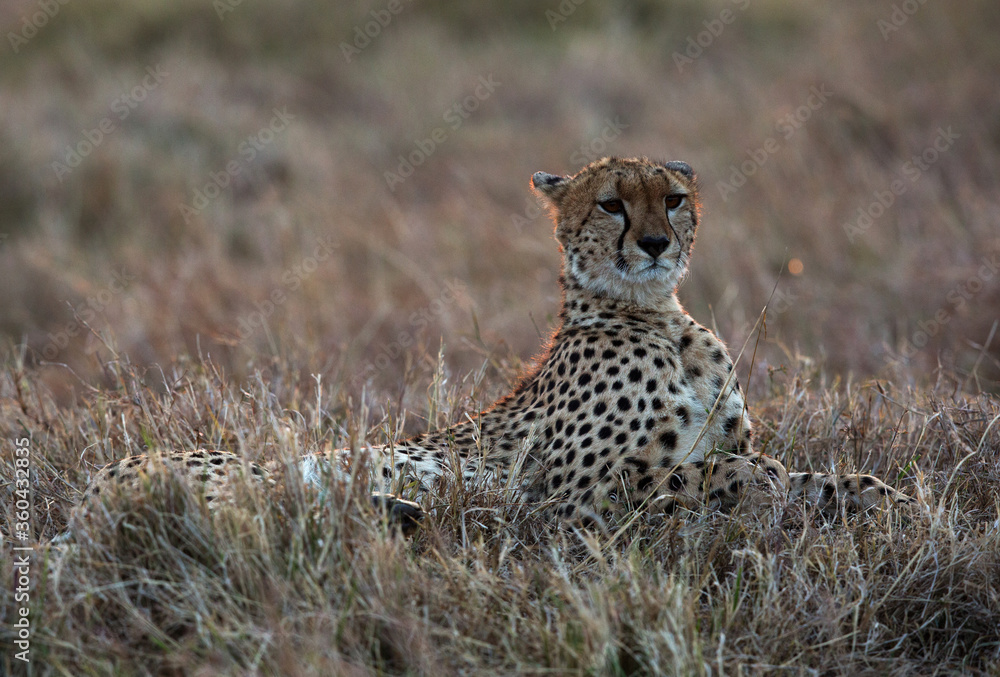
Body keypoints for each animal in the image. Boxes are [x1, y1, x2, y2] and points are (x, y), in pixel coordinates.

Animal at [64, 156, 912, 539]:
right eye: (612, 204)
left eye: (672, 198)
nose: (655, 243)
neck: (656, 315)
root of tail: (89, 485)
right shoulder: (572, 496)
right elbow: (714, 473)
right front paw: (765, 484)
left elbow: (800, 473)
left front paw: (885, 496)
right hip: (229, 474)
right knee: (257, 515)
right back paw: (408, 510)